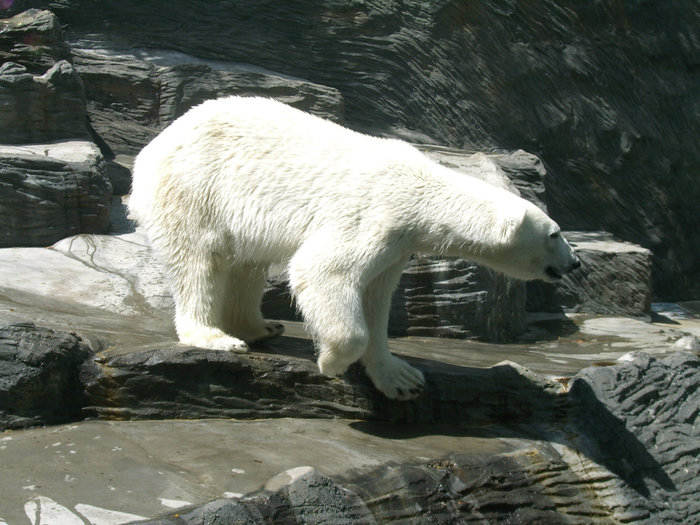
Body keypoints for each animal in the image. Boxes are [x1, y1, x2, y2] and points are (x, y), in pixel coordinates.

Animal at [130, 96, 580, 400]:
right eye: (555, 233)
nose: (574, 262)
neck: (421, 187)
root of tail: (152, 147)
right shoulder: (374, 214)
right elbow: (323, 271)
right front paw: (332, 361)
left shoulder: (398, 245)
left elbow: (376, 297)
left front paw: (400, 378)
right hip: (194, 190)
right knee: (198, 261)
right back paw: (215, 336)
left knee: (246, 265)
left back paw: (259, 327)